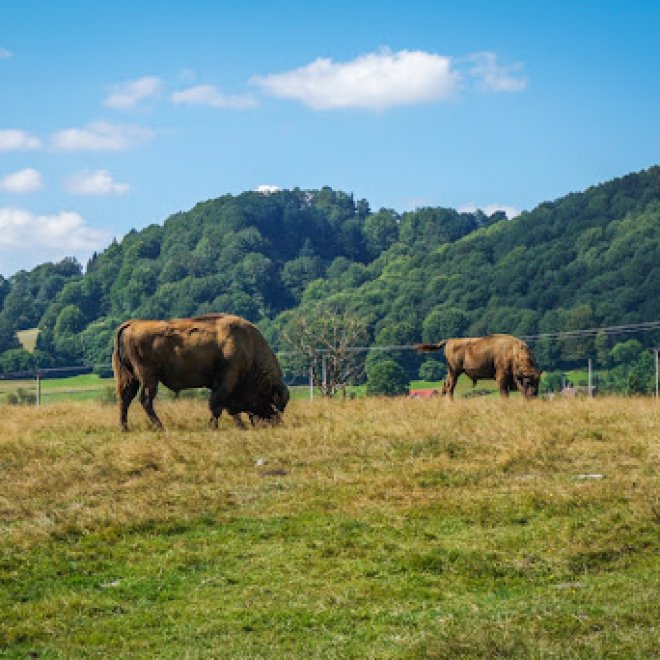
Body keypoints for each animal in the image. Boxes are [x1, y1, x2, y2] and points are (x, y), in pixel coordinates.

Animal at [113, 314, 288, 430]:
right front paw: (213, 426)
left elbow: (224, 407)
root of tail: (132, 324)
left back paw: (125, 428)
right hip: (148, 376)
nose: (273, 424)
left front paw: (239, 425)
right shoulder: (226, 380)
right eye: (272, 402)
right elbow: (217, 405)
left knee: (125, 399)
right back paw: (160, 427)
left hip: (130, 377)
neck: (248, 347)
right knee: (145, 399)